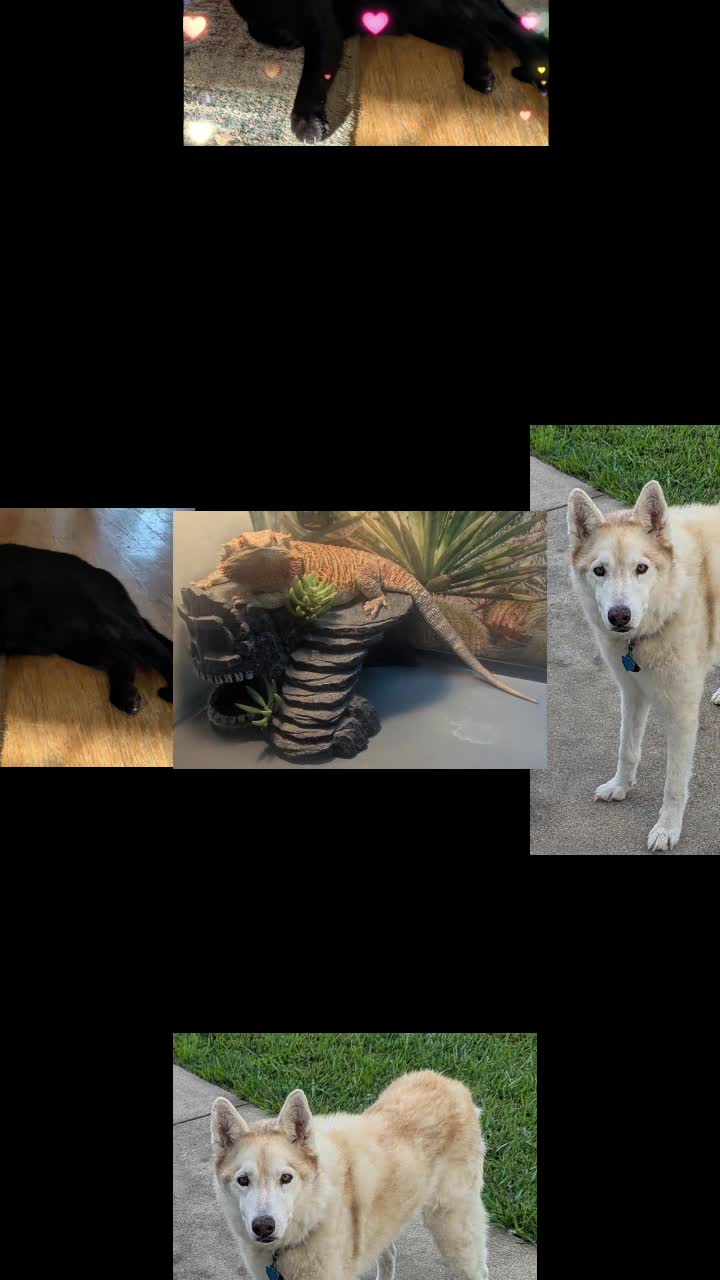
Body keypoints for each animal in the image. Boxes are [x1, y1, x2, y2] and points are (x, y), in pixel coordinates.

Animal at [211, 1070, 490, 1280]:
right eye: (243, 1180)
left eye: (286, 1178)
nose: (263, 1226)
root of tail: (455, 1086)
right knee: (389, 1254)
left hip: (454, 1231)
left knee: (480, 1269)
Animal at [568, 480, 720, 852]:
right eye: (599, 570)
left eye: (642, 568)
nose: (619, 616)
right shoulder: (632, 694)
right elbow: (627, 749)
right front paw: (620, 787)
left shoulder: (682, 713)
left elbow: (674, 783)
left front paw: (667, 828)